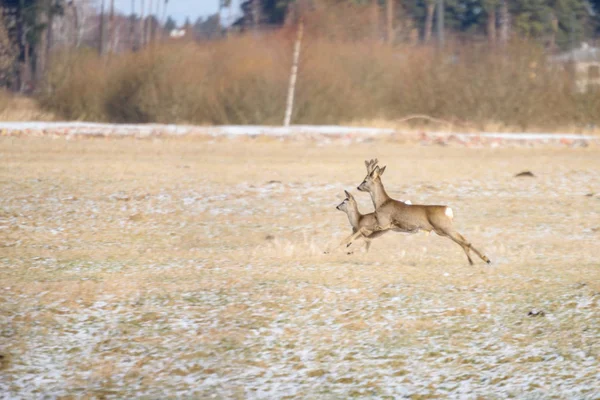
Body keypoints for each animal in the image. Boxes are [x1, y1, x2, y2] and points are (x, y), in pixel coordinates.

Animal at [340, 159, 490, 266]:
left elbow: (362, 230)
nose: (358, 187)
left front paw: (348, 245)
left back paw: (478, 260)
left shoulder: (384, 223)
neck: (382, 203)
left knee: (464, 242)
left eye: (365, 180)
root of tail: (448, 210)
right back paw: (483, 260)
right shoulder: (386, 226)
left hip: (444, 227)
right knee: (464, 240)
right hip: (442, 230)